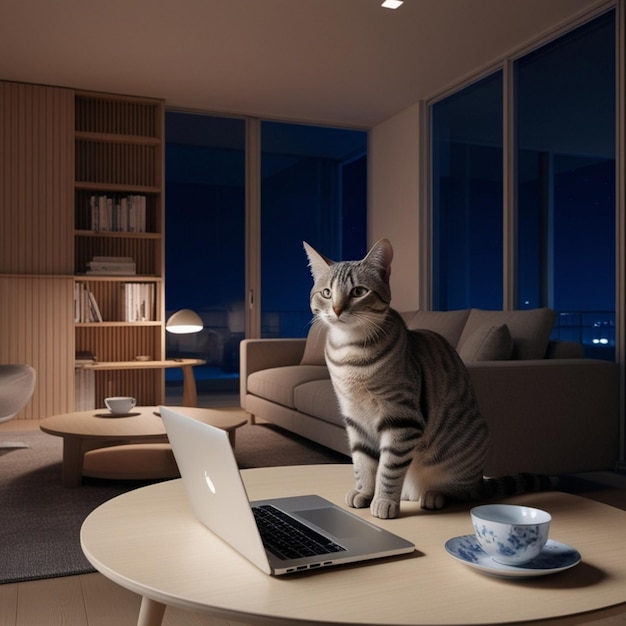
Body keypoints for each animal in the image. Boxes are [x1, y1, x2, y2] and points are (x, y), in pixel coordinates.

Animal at [302, 239, 552, 516]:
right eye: (327, 293)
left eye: (358, 292)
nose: (336, 309)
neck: (350, 353)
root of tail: (480, 481)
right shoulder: (354, 418)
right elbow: (363, 462)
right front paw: (364, 493)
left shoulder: (401, 417)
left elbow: (388, 468)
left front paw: (384, 501)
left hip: (464, 452)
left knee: (460, 492)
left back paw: (432, 496)